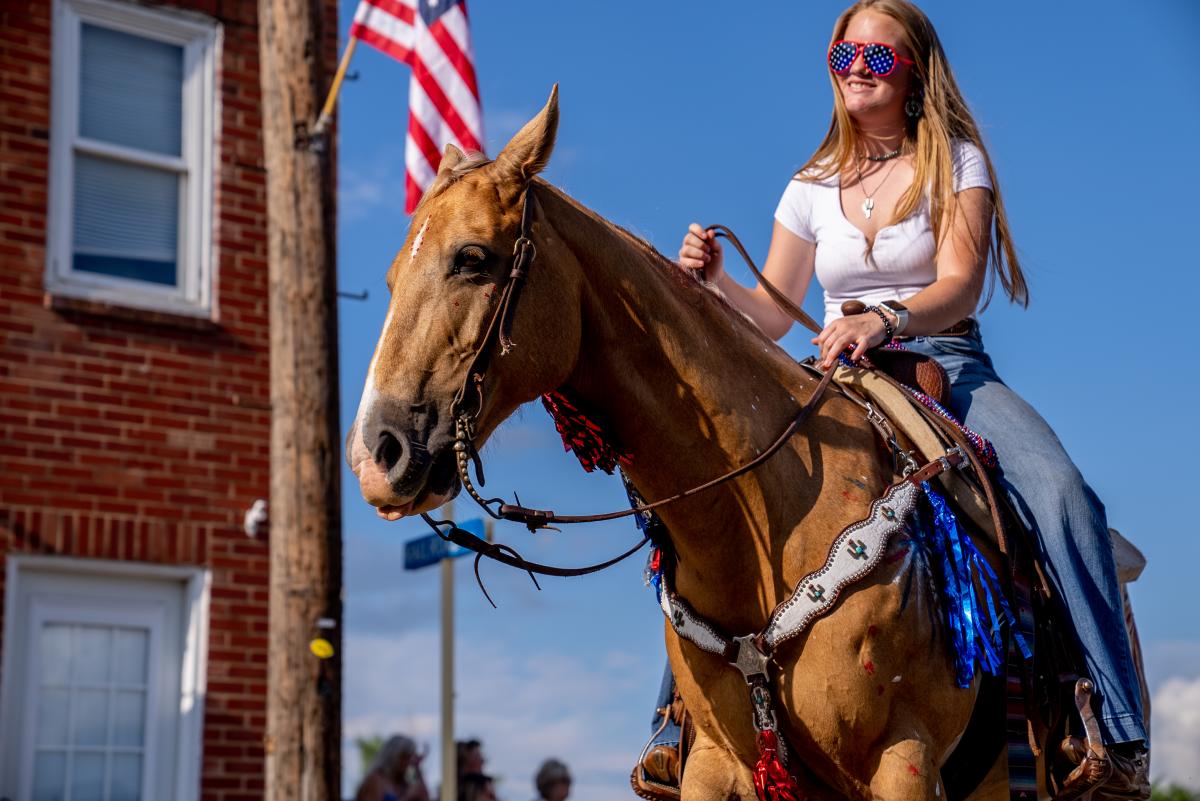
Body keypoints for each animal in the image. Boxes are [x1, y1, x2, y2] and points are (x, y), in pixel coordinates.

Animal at [350, 90, 1060, 796]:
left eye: (471, 258)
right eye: (389, 277)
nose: (375, 454)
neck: (761, 523)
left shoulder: (903, 757)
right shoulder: (717, 761)